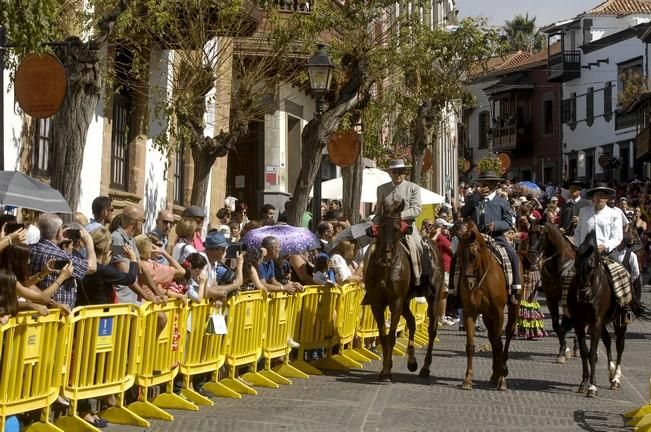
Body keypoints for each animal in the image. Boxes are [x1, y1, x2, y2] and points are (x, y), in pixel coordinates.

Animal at [364, 200, 446, 382]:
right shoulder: (377, 303)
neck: (386, 269)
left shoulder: (395, 301)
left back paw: (425, 367)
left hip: (433, 298)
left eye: (396, 228)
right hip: (406, 301)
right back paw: (412, 361)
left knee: (432, 329)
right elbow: (383, 335)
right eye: (380, 226)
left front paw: (387, 372)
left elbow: (391, 335)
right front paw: (385, 369)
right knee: (412, 322)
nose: (385, 258)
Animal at [458, 221, 520, 390]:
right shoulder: (470, 312)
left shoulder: (498, 312)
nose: (468, 284)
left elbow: (499, 343)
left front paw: (502, 378)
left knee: (507, 334)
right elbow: (470, 345)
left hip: (513, 308)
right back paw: (494, 374)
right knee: (492, 338)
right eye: (459, 254)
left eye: (474, 254)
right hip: (486, 315)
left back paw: (501, 370)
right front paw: (467, 379)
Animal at [528, 221, 580, 362]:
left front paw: (565, 350)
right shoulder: (551, 299)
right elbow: (557, 325)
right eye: (528, 232)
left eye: (540, 234)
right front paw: (563, 350)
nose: (531, 258)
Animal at [572, 231, 628, 396]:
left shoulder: (596, 322)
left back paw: (616, 378)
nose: (583, 294)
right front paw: (584, 382)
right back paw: (610, 372)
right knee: (608, 340)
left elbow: (592, 353)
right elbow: (584, 352)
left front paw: (592, 386)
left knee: (620, 345)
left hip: (619, 321)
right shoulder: (579, 323)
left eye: (591, 267)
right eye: (576, 265)